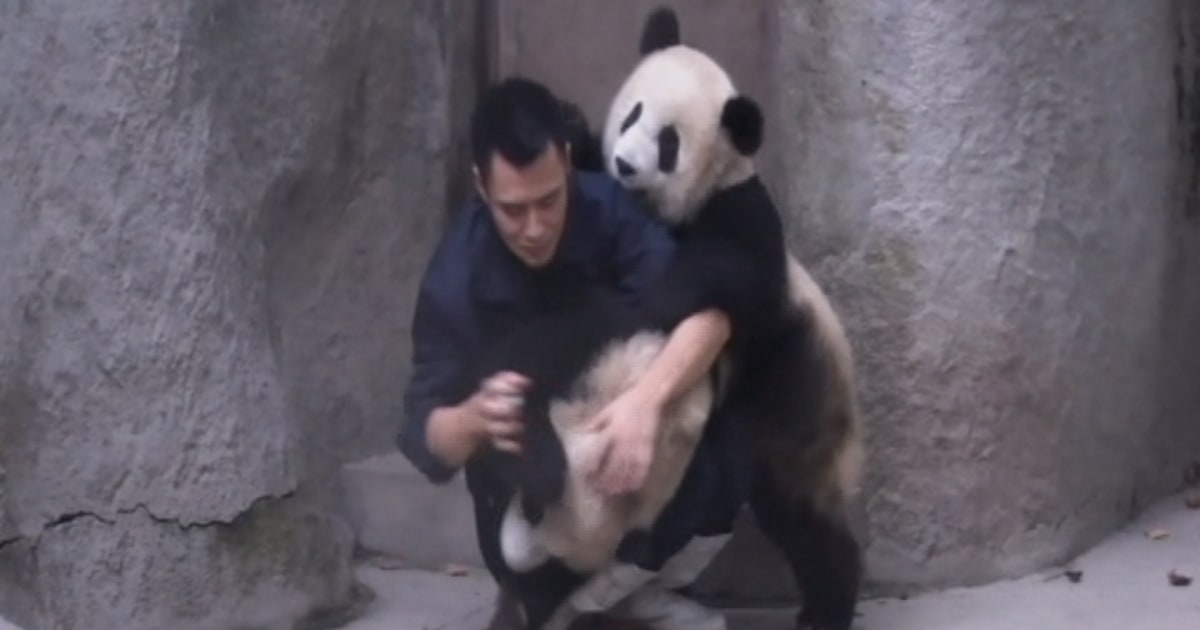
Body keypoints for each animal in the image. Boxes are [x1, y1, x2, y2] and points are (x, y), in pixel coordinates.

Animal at [590, 6, 868, 630]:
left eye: (668, 142)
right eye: (632, 112)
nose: (624, 163)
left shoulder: (744, 219)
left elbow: (724, 277)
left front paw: (640, 302)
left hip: (795, 396)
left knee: (803, 515)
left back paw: (826, 606)